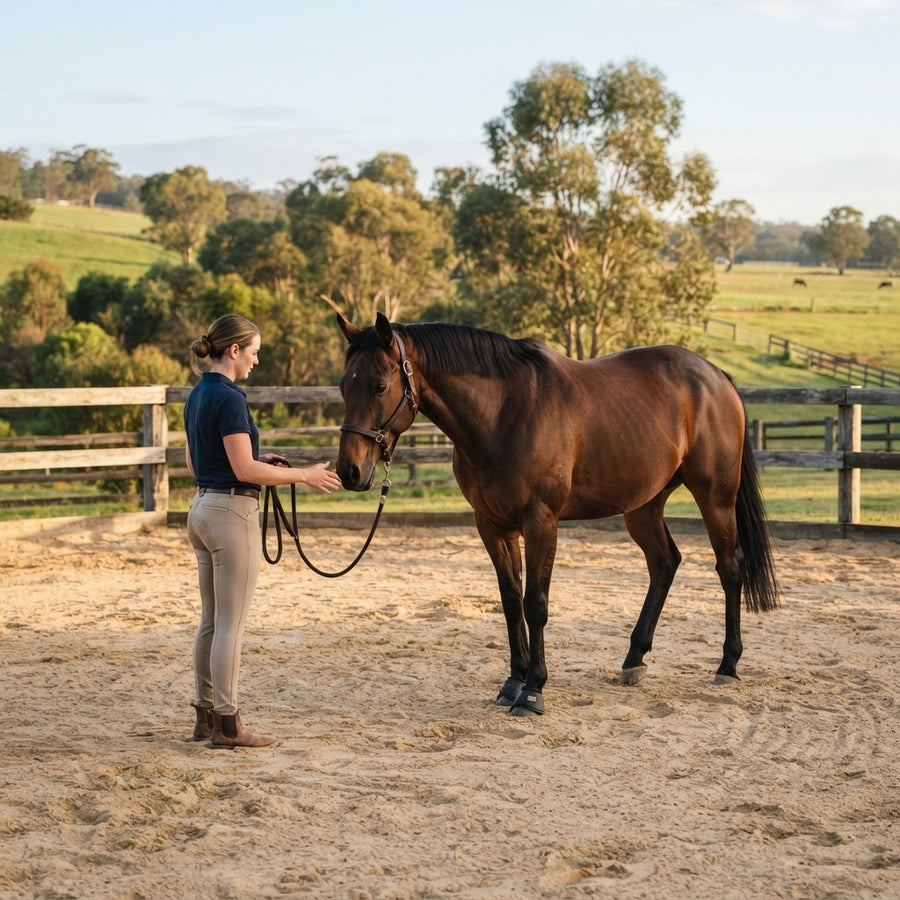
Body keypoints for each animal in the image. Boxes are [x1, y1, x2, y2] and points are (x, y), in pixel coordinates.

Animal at [336, 313, 779, 716]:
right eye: (343, 385)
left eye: (379, 386)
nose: (349, 471)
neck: (503, 414)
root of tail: (715, 376)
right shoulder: (491, 526)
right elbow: (510, 600)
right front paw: (512, 683)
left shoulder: (541, 522)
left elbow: (535, 602)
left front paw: (533, 691)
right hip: (643, 505)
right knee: (664, 563)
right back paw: (633, 660)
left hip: (715, 499)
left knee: (729, 569)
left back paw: (727, 665)